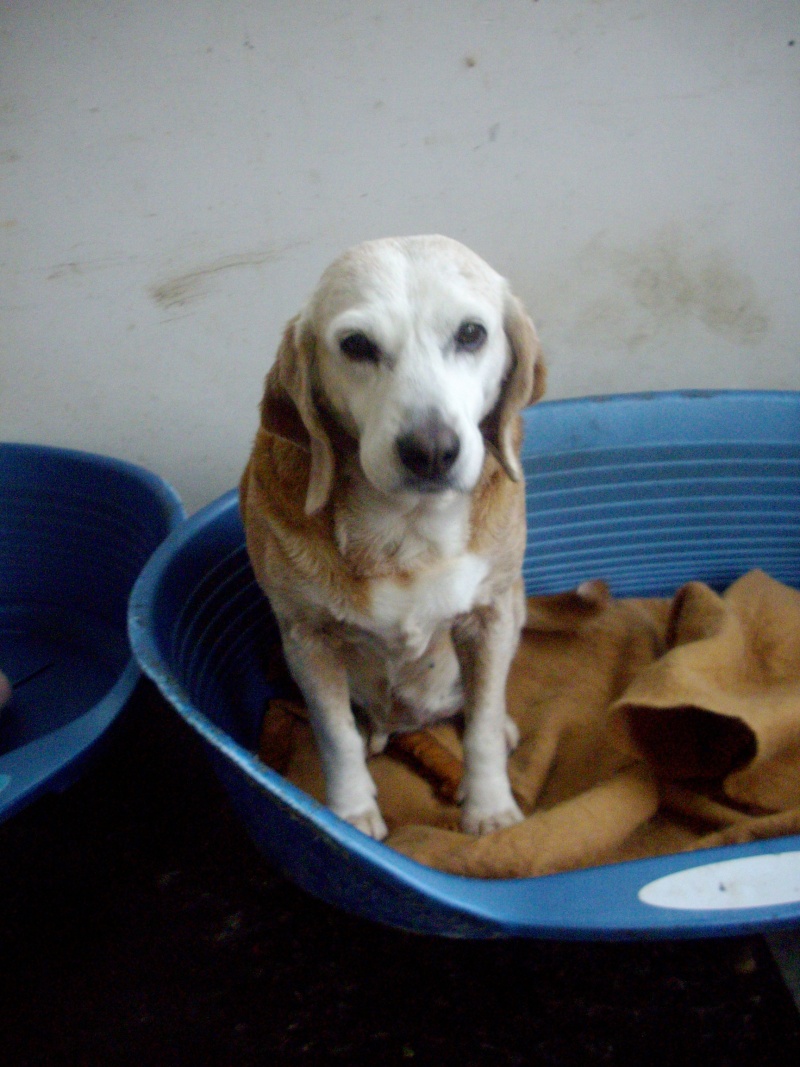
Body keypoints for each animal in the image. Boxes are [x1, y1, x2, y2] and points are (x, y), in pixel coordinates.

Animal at [241, 235, 550, 840]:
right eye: (356, 345)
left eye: (471, 333)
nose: (431, 450)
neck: (408, 530)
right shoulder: (307, 639)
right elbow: (334, 736)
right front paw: (349, 813)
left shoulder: (492, 616)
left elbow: (480, 726)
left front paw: (489, 808)